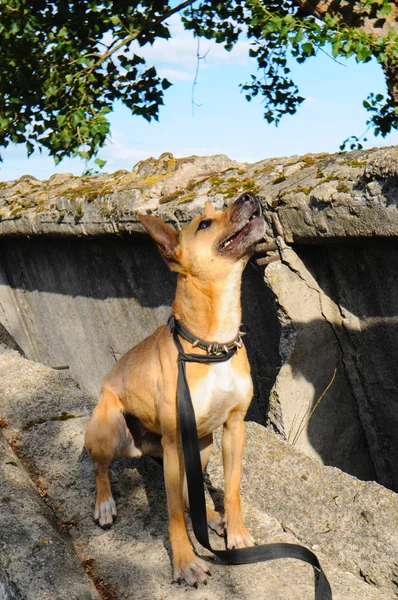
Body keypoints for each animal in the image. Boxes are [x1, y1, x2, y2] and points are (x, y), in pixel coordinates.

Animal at [84, 192, 264, 584]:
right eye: (204, 224)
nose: (249, 195)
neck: (210, 345)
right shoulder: (174, 441)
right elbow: (174, 514)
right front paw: (184, 561)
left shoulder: (234, 428)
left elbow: (231, 490)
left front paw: (236, 533)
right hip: (109, 430)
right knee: (101, 470)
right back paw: (104, 505)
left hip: (201, 444)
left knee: (185, 492)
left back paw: (210, 519)